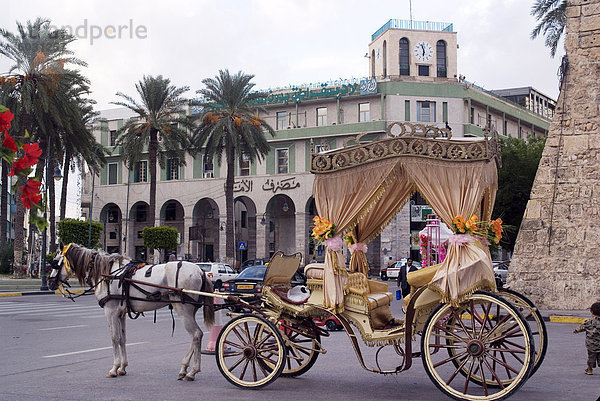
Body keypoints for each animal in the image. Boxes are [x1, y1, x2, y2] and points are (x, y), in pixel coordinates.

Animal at [48, 242, 214, 380]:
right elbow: (122, 338)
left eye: (55, 263)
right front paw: (122, 367)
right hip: (189, 310)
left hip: (183, 310)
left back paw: (192, 371)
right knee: (195, 336)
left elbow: (114, 338)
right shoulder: (121, 314)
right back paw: (184, 368)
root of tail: (200, 270)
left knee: (196, 335)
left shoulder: (111, 311)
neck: (107, 273)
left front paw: (114, 368)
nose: (50, 283)